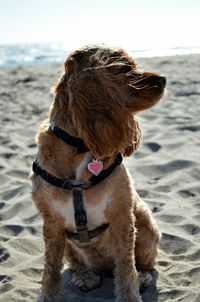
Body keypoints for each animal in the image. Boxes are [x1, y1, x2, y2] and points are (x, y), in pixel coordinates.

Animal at [31, 45, 166, 302]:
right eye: (124, 69)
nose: (164, 79)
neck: (80, 148)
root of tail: (102, 267)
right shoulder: (51, 224)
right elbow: (50, 270)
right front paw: (48, 295)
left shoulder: (122, 215)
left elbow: (126, 267)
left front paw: (131, 294)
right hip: (69, 243)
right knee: (75, 262)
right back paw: (85, 276)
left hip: (146, 225)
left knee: (142, 263)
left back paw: (142, 277)